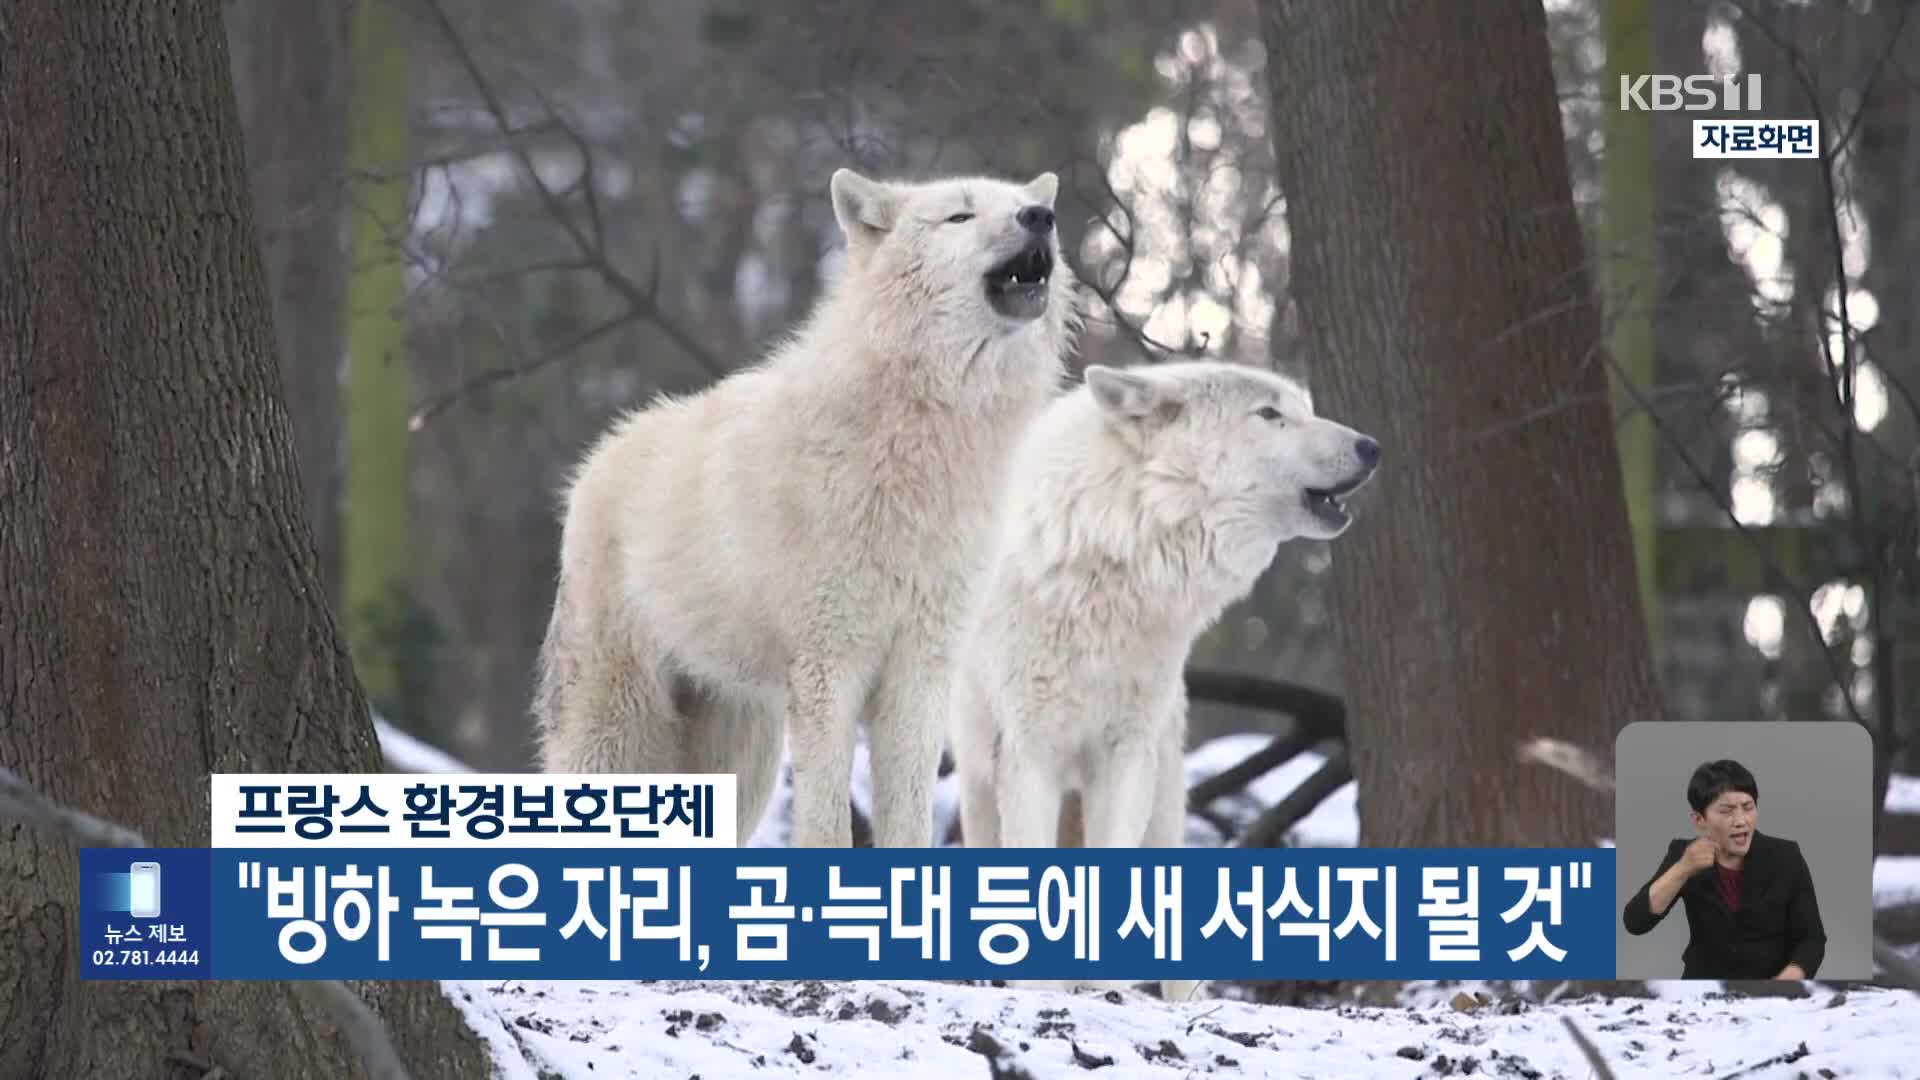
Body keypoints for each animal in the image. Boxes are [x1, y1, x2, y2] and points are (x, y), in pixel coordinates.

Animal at [533, 164, 1082, 845]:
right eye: (960, 216)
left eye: (1026, 207)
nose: (1041, 217)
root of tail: (596, 460)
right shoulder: (829, 667)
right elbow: (825, 821)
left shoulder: (921, 672)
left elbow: (909, 817)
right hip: (616, 732)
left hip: (742, 757)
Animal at [948, 357, 1382, 999]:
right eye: (1270, 415)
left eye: (1304, 408)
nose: (1372, 447)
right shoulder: (1031, 754)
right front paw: (1044, 991)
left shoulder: (1126, 753)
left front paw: (1106, 989)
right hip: (980, 782)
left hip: (1165, 789)